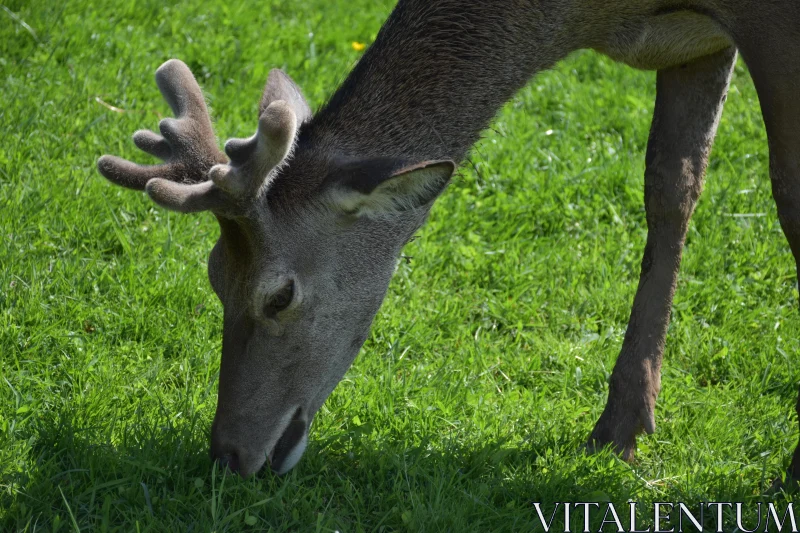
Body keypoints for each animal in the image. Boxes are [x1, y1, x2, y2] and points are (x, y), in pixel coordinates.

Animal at [97, 0, 796, 480]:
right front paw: (621, 429)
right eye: (215, 273)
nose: (228, 454)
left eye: (280, 294)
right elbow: (671, 188)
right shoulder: (689, 46)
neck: (589, 18)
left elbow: (786, 198)